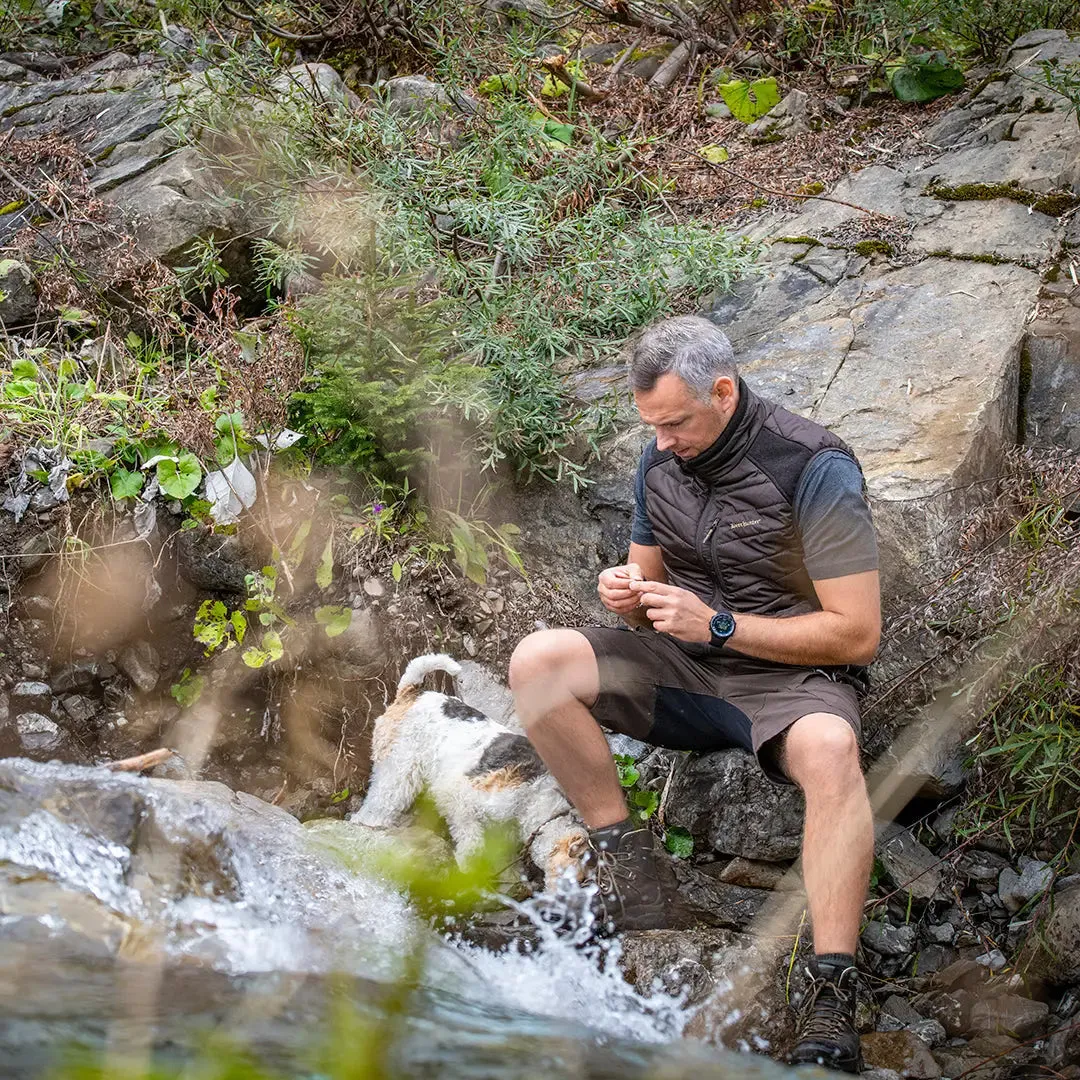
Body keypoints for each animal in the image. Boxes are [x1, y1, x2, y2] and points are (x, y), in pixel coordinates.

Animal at [349, 652, 587, 889]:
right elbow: (472, 842)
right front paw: (467, 869)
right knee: (382, 799)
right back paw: (368, 822)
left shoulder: (502, 830)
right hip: (400, 768)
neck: (537, 801)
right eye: (577, 879)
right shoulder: (458, 798)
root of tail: (413, 692)